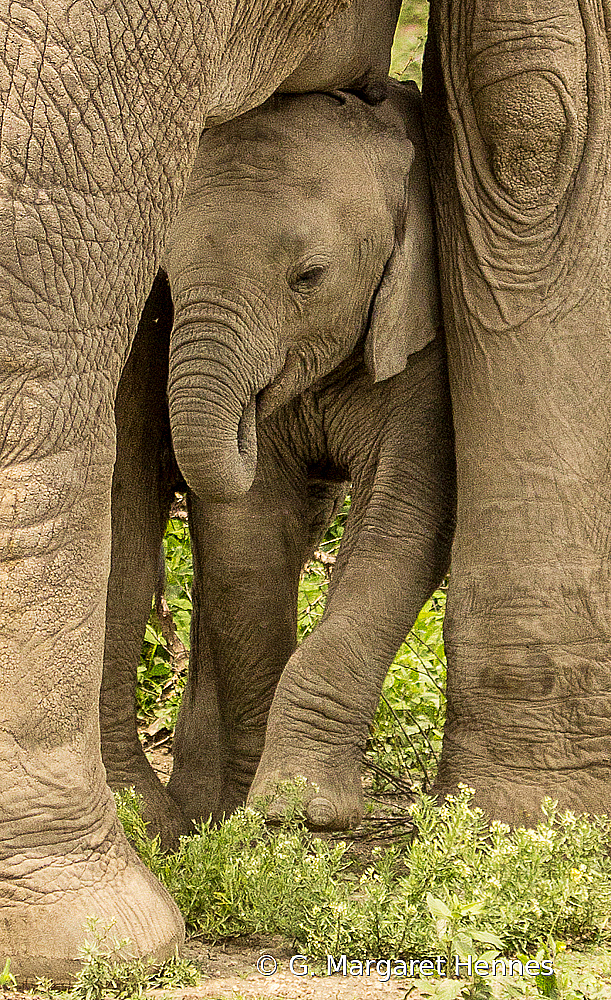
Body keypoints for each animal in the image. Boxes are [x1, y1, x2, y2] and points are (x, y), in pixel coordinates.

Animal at [101, 80, 454, 844]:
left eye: (309, 277)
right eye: (165, 282)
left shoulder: (428, 345)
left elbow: (402, 519)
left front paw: (302, 810)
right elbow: (249, 539)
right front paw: (247, 815)